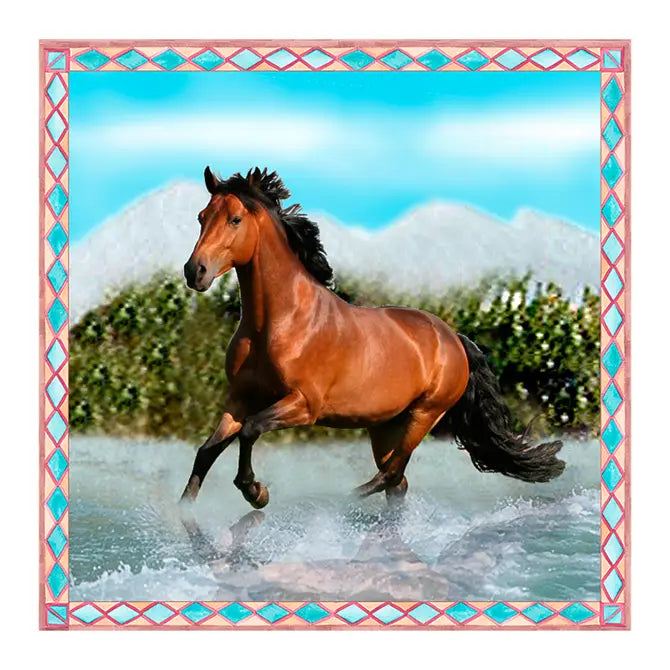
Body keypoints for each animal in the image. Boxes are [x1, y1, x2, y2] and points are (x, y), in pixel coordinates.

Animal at [180, 167, 564, 509]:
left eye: (235, 220)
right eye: (201, 217)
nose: (195, 271)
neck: (278, 324)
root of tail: (453, 338)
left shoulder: (304, 405)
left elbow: (250, 430)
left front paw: (256, 492)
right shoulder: (240, 398)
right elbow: (207, 451)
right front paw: (187, 507)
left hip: (423, 415)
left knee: (389, 476)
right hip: (385, 426)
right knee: (396, 482)